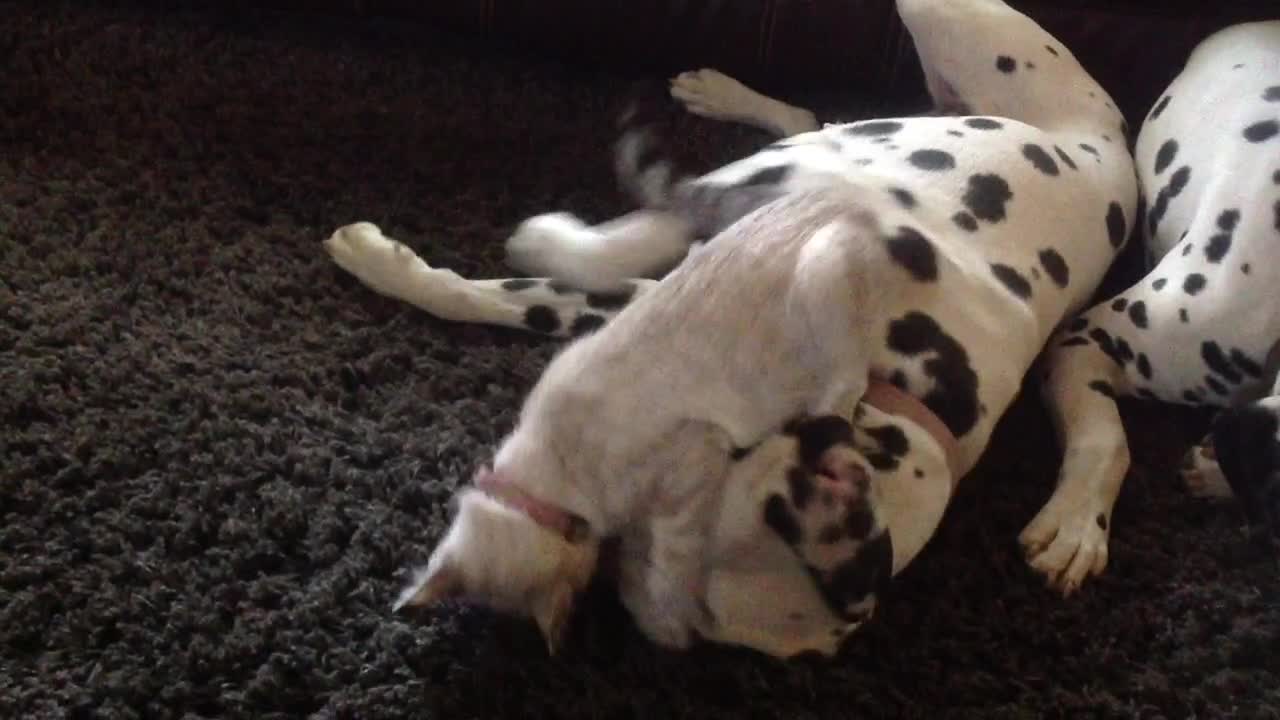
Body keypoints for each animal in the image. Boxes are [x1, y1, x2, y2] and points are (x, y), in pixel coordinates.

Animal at [325, 0, 1136, 655]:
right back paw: (720, 95)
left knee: (807, 123)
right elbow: (580, 253)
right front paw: (396, 258)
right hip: (948, 27)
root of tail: (1111, 135)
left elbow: (545, 286)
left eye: (642, 544)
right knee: (815, 116)